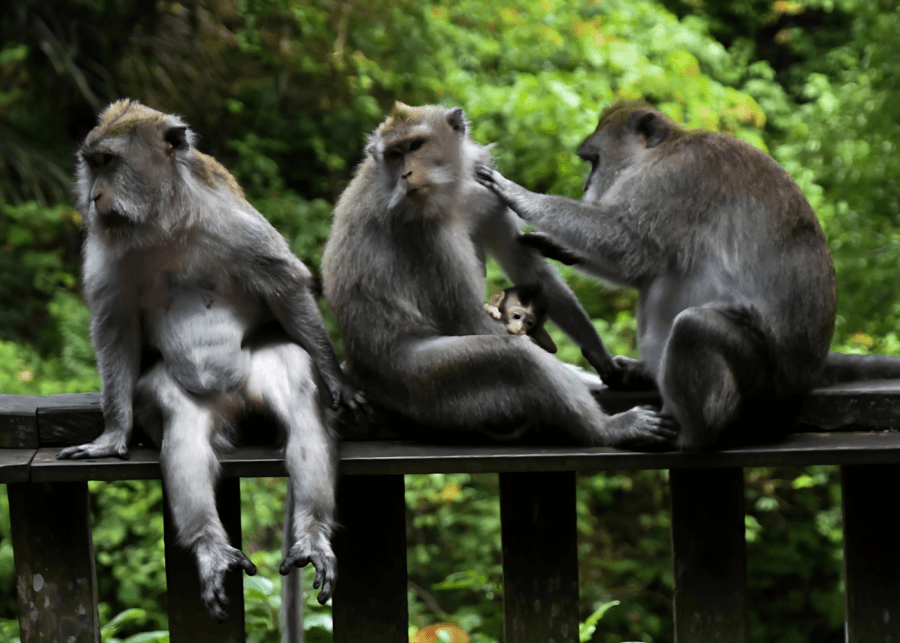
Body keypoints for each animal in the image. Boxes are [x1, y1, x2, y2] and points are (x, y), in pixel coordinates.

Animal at [56, 100, 364, 631]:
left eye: (109, 162)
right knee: (181, 421)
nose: (94, 196)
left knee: (298, 392)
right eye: (92, 165)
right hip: (183, 395)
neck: (163, 221)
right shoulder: (106, 249)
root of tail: (234, 402)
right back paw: (210, 546)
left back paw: (312, 532)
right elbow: (114, 326)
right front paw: (112, 433)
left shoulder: (234, 221)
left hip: (259, 371)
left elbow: (285, 284)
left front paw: (337, 377)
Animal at [321, 102, 676, 448]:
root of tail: (362, 369)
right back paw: (607, 429)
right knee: (515, 358)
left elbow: (531, 272)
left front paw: (601, 358)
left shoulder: (484, 194)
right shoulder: (423, 229)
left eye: (415, 145)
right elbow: (466, 318)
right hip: (419, 385)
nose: (406, 173)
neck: (453, 190)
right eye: (394, 154)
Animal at [475, 99, 900, 450]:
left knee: (695, 325)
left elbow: (631, 244)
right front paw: (555, 245)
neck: (662, 152)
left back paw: (693, 433)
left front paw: (521, 195)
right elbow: (638, 263)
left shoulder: (674, 179)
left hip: (762, 382)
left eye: (593, 161)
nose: (585, 186)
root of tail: (806, 375)